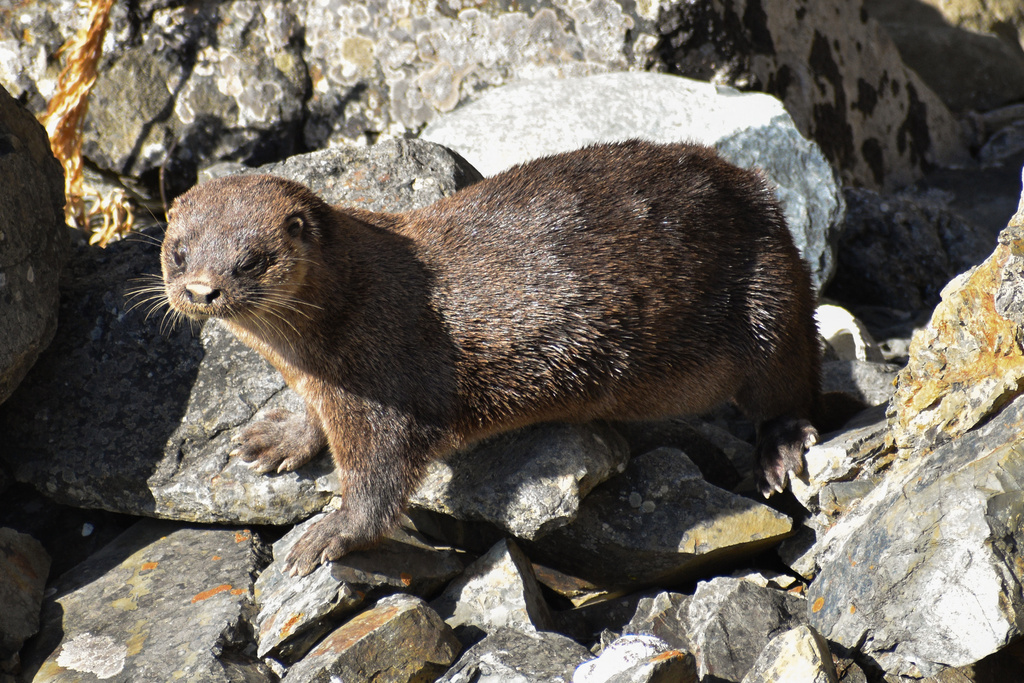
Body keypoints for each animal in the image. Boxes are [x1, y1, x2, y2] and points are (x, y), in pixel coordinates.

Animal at [160, 140, 821, 577]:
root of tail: (757, 187)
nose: (200, 290)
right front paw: (276, 437)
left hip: (768, 300)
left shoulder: (386, 386)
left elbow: (379, 483)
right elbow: (311, 417)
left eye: (251, 259)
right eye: (178, 250)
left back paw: (781, 450)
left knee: (792, 378)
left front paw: (329, 534)